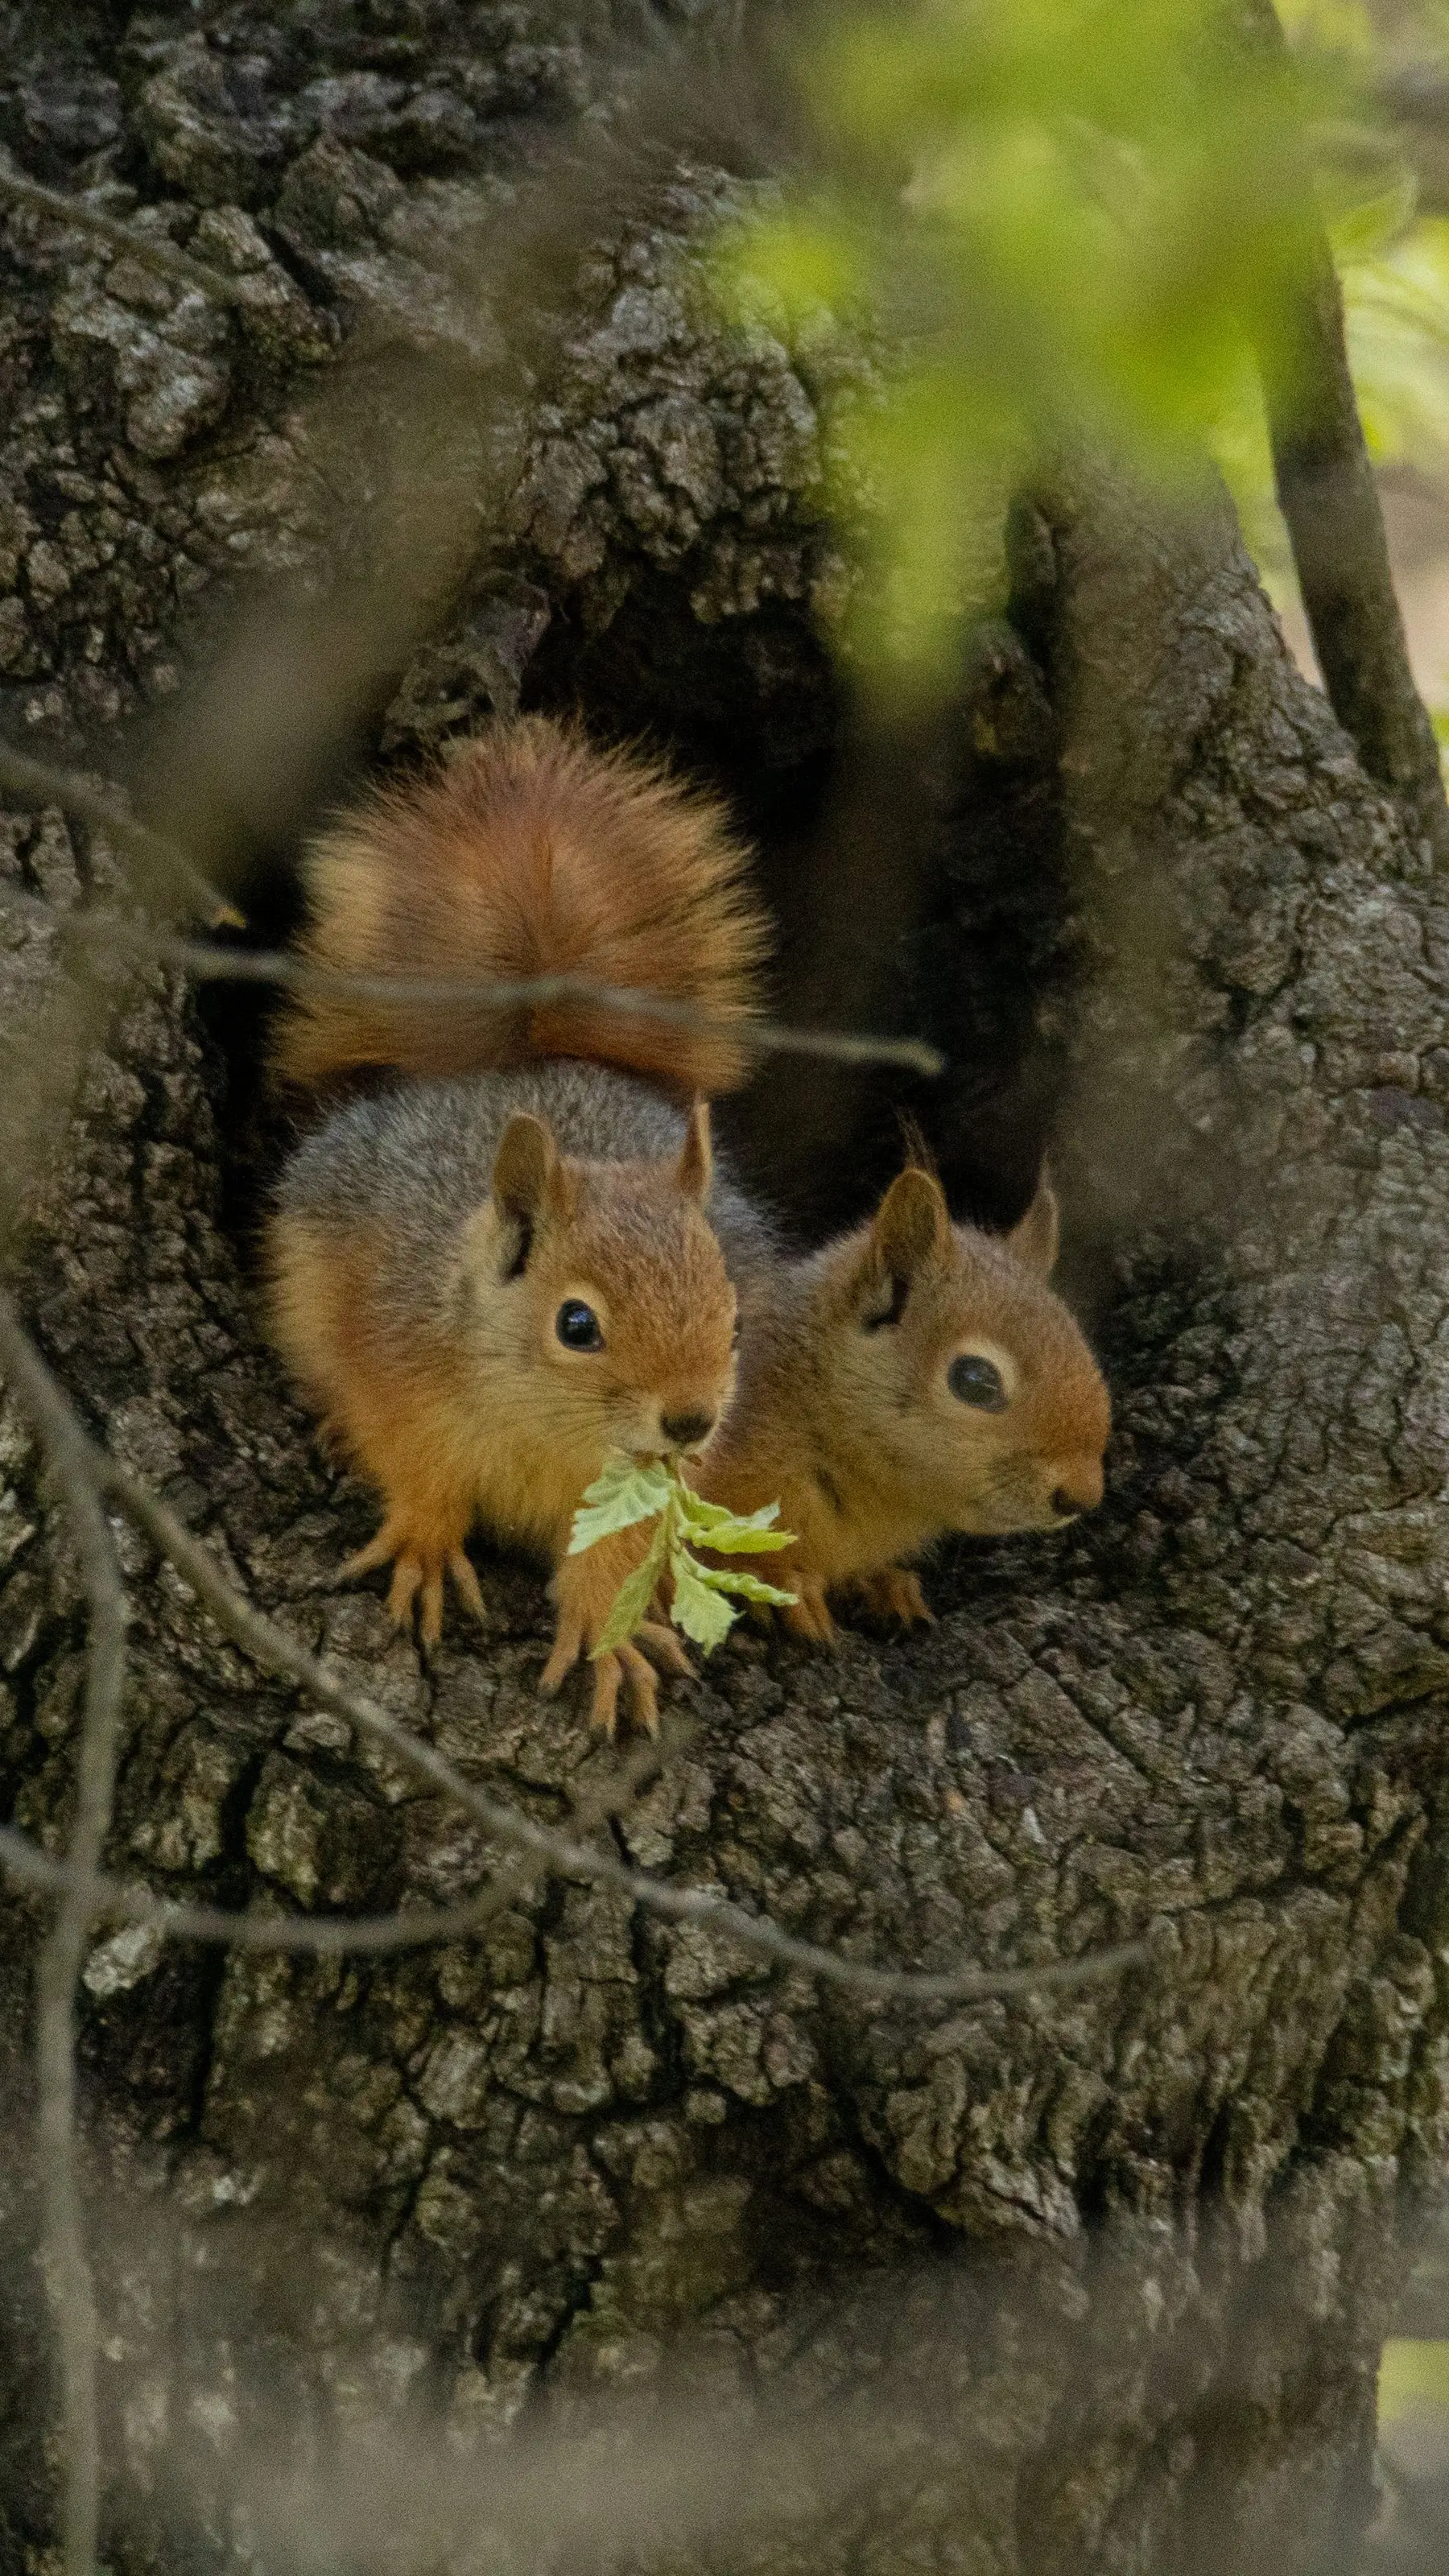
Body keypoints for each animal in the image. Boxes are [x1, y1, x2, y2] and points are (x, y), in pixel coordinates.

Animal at [264, 713, 774, 1735]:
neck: (543, 1423)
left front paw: (613, 1635)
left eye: (737, 1321)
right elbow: (411, 1461)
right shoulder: (390, 1355)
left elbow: (616, 1555)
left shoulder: (636, 1491)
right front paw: (423, 1541)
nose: (692, 1419)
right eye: (576, 1324)